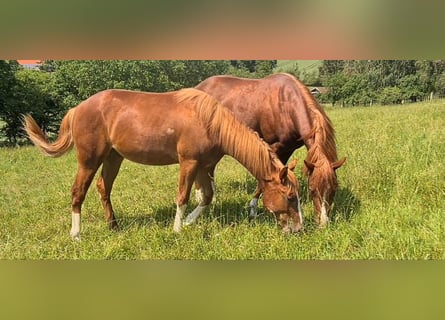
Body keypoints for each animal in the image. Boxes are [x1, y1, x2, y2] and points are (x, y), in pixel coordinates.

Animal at [23, 86, 302, 239]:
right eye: (290, 197)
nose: (298, 229)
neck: (210, 122)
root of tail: (77, 109)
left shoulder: (203, 166)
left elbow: (206, 197)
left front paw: (189, 222)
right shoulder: (189, 163)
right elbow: (183, 196)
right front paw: (178, 228)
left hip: (114, 157)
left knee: (104, 188)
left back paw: (113, 225)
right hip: (89, 161)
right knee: (78, 193)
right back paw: (76, 235)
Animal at [196, 73, 346, 226]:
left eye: (334, 189)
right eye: (312, 190)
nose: (323, 223)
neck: (287, 104)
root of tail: (199, 87)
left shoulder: (288, 149)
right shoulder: (274, 147)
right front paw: (253, 209)